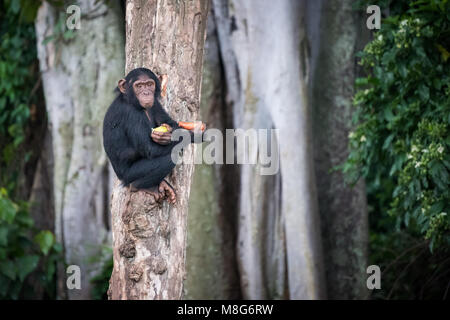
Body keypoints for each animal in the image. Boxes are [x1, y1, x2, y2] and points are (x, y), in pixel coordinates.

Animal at [103, 68, 201, 204]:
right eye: (139, 86)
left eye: (149, 84)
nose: (146, 93)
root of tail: (120, 177)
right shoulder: (131, 114)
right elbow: (150, 148)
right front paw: (194, 134)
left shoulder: (155, 104)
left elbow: (171, 122)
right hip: (130, 174)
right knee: (170, 157)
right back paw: (142, 186)